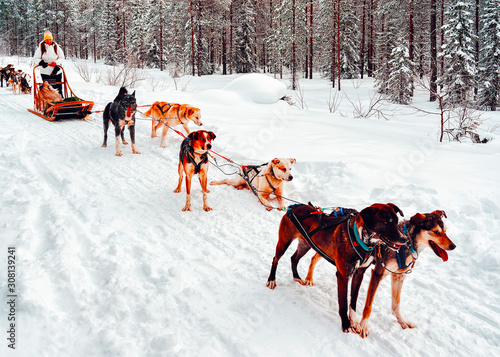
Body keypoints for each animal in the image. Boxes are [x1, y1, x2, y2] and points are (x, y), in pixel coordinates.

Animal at [266, 202, 406, 332]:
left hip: (305, 245)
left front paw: (354, 322)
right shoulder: (343, 275)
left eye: (397, 221)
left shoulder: (359, 274)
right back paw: (271, 280)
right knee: (275, 259)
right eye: (386, 222)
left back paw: (296, 277)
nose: (404, 239)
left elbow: (353, 302)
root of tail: (294, 206)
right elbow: (343, 303)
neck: (359, 239)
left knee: (294, 258)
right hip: (284, 242)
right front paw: (346, 324)